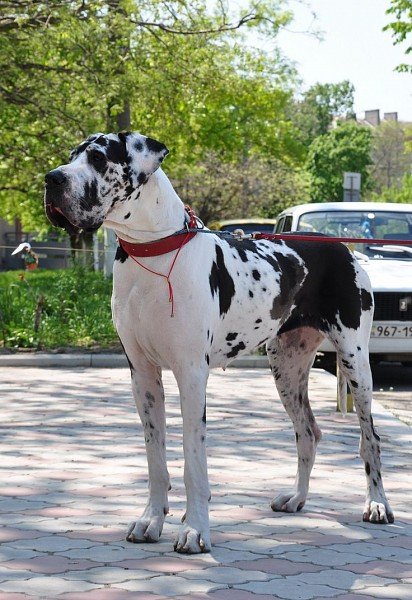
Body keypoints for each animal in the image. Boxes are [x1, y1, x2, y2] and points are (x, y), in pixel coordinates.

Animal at [43, 130, 394, 552]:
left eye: (97, 158)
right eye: (70, 155)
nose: (51, 179)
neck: (152, 252)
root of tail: (343, 246)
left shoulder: (191, 374)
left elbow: (194, 459)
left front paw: (195, 529)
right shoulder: (142, 374)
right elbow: (155, 456)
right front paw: (151, 519)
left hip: (355, 361)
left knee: (370, 438)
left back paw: (377, 504)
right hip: (286, 367)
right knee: (308, 432)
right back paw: (297, 498)